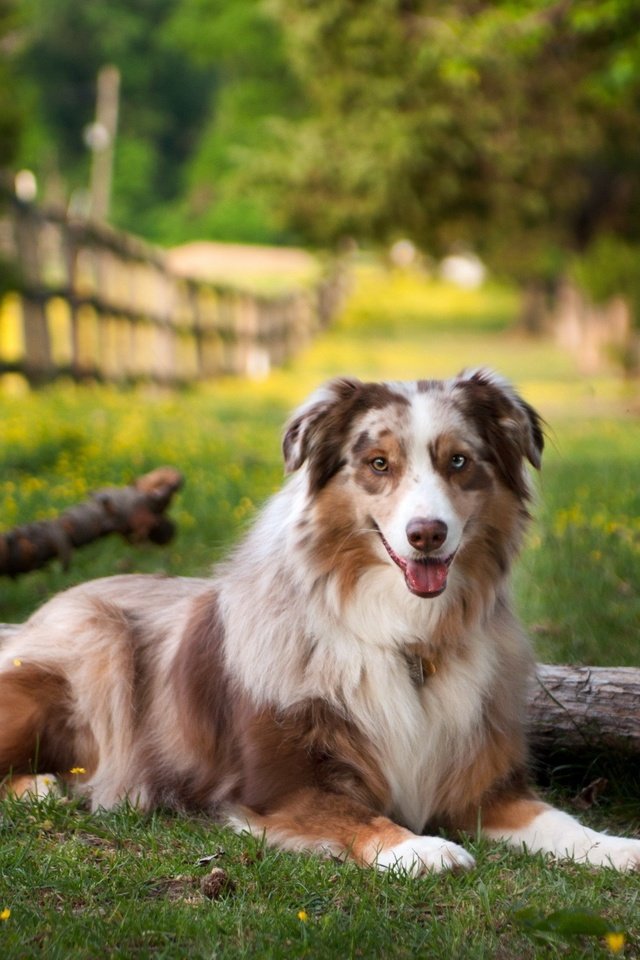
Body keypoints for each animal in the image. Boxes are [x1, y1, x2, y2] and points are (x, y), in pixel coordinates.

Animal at [1, 372, 640, 872]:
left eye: (458, 461)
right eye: (379, 464)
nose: (427, 534)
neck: (405, 635)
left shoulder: (481, 787)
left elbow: (560, 821)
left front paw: (616, 846)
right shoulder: (281, 790)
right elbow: (356, 815)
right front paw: (419, 849)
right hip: (95, 642)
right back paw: (41, 786)